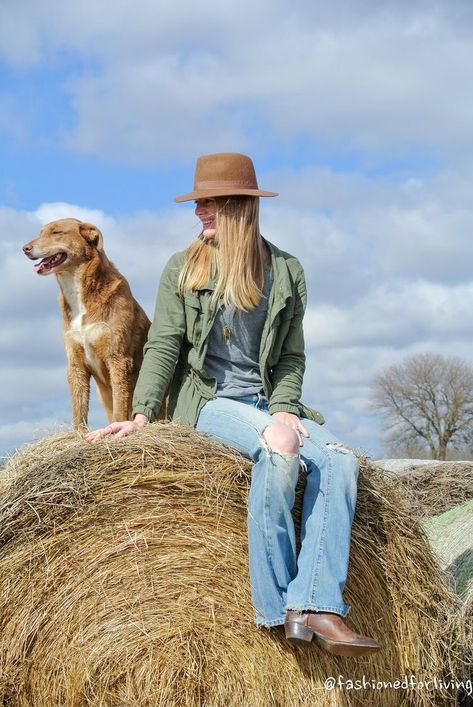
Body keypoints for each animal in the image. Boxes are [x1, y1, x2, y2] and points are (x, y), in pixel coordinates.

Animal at [22, 220, 149, 432]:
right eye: (40, 233)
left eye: (57, 232)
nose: (25, 248)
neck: (78, 293)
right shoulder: (76, 364)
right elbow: (79, 410)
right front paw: (79, 435)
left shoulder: (118, 358)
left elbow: (120, 409)